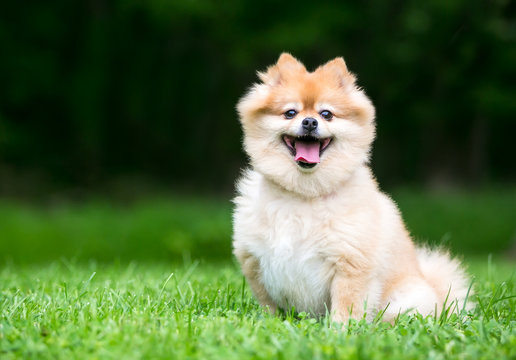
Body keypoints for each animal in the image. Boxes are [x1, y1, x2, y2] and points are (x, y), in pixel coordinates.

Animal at [234, 53, 472, 324]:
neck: (304, 194)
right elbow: (268, 304)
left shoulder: (351, 263)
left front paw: (340, 329)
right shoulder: (254, 261)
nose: (309, 121)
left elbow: (347, 305)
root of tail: (438, 293)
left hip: (404, 303)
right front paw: (270, 323)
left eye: (327, 114)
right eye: (290, 113)